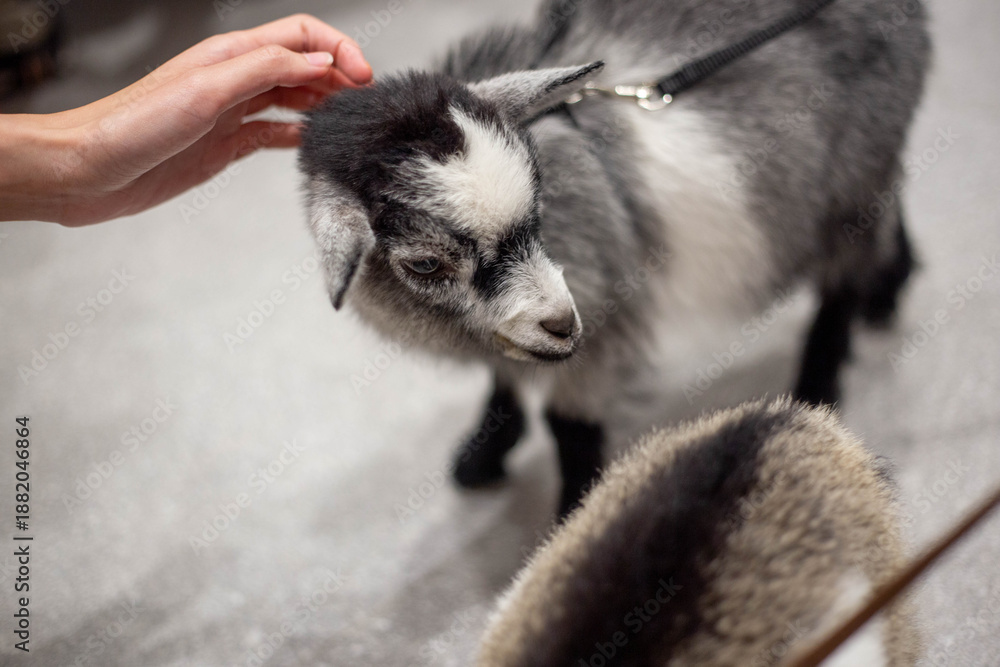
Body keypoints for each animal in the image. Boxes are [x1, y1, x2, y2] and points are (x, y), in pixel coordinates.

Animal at [298, 0, 930, 515]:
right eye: (424, 264)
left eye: (540, 205)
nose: (563, 324)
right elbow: (504, 381)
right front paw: (482, 454)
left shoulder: (600, 301)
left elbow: (569, 424)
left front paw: (572, 517)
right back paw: (889, 288)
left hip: (853, 173)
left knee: (839, 281)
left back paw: (820, 384)